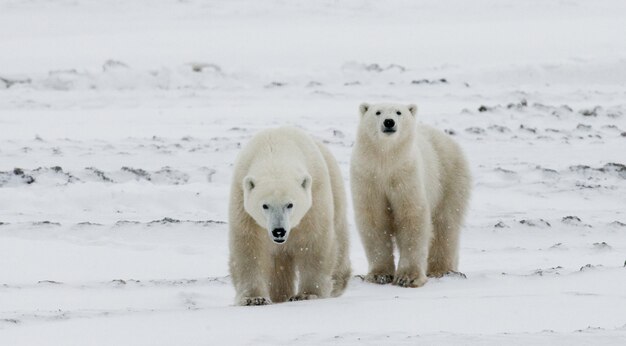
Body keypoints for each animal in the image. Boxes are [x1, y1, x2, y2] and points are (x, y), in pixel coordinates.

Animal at [228, 126, 348, 306]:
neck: (275, 150)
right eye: (265, 205)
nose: (279, 231)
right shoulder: (241, 199)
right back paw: (280, 295)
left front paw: (307, 294)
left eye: (290, 204)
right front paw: (254, 298)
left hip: (336, 187)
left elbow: (314, 240)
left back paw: (338, 283)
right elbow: (248, 245)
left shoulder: (315, 194)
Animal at [352, 102, 468, 286]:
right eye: (378, 112)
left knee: (445, 223)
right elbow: (374, 220)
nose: (389, 122)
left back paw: (440, 270)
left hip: (449, 178)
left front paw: (407, 278)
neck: (386, 159)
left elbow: (411, 216)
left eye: (399, 112)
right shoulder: (367, 177)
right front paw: (379, 275)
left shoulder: (407, 174)